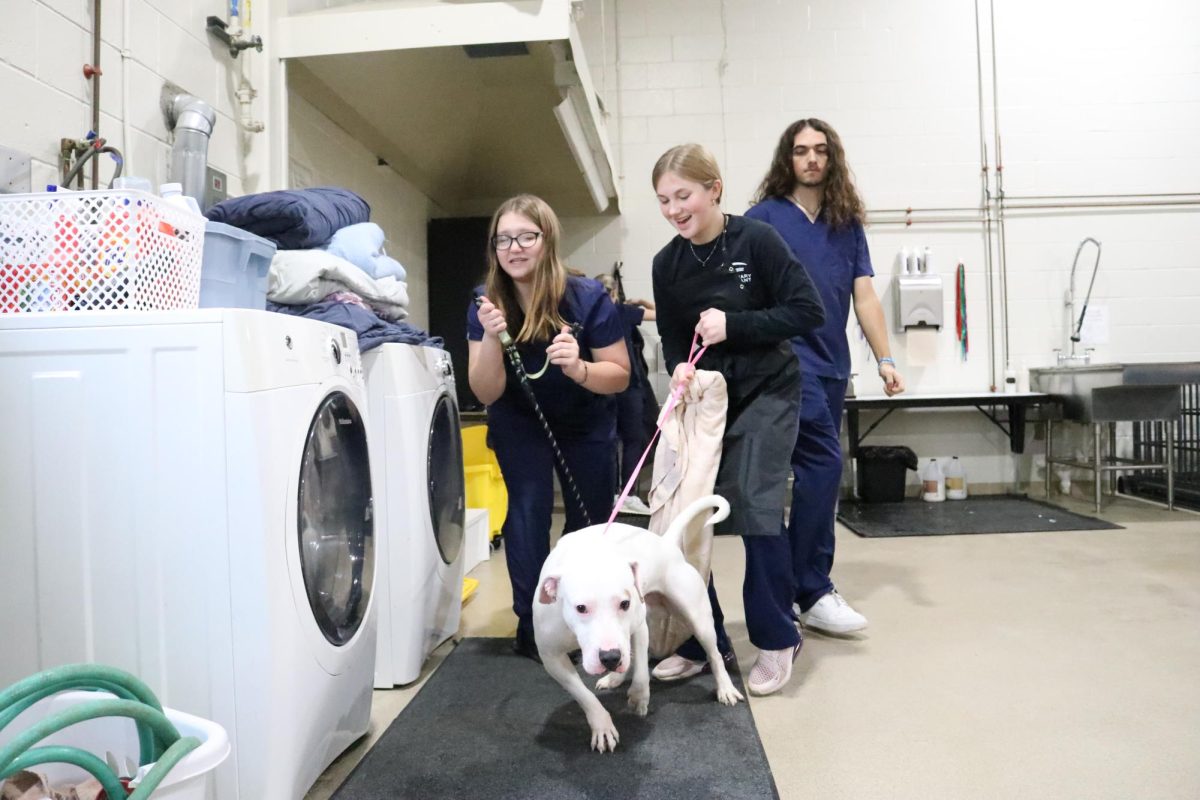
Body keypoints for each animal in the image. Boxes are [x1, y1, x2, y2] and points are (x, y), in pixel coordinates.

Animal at [532, 494, 739, 753]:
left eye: (624, 603)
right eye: (580, 608)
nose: (610, 657)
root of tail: (666, 543)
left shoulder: (639, 627)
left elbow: (641, 672)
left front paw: (639, 698)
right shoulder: (552, 658)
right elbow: (583, 695)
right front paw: (602, 725)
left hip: (696, 617)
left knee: (714, 655)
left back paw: (725, 688)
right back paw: (614, 678)